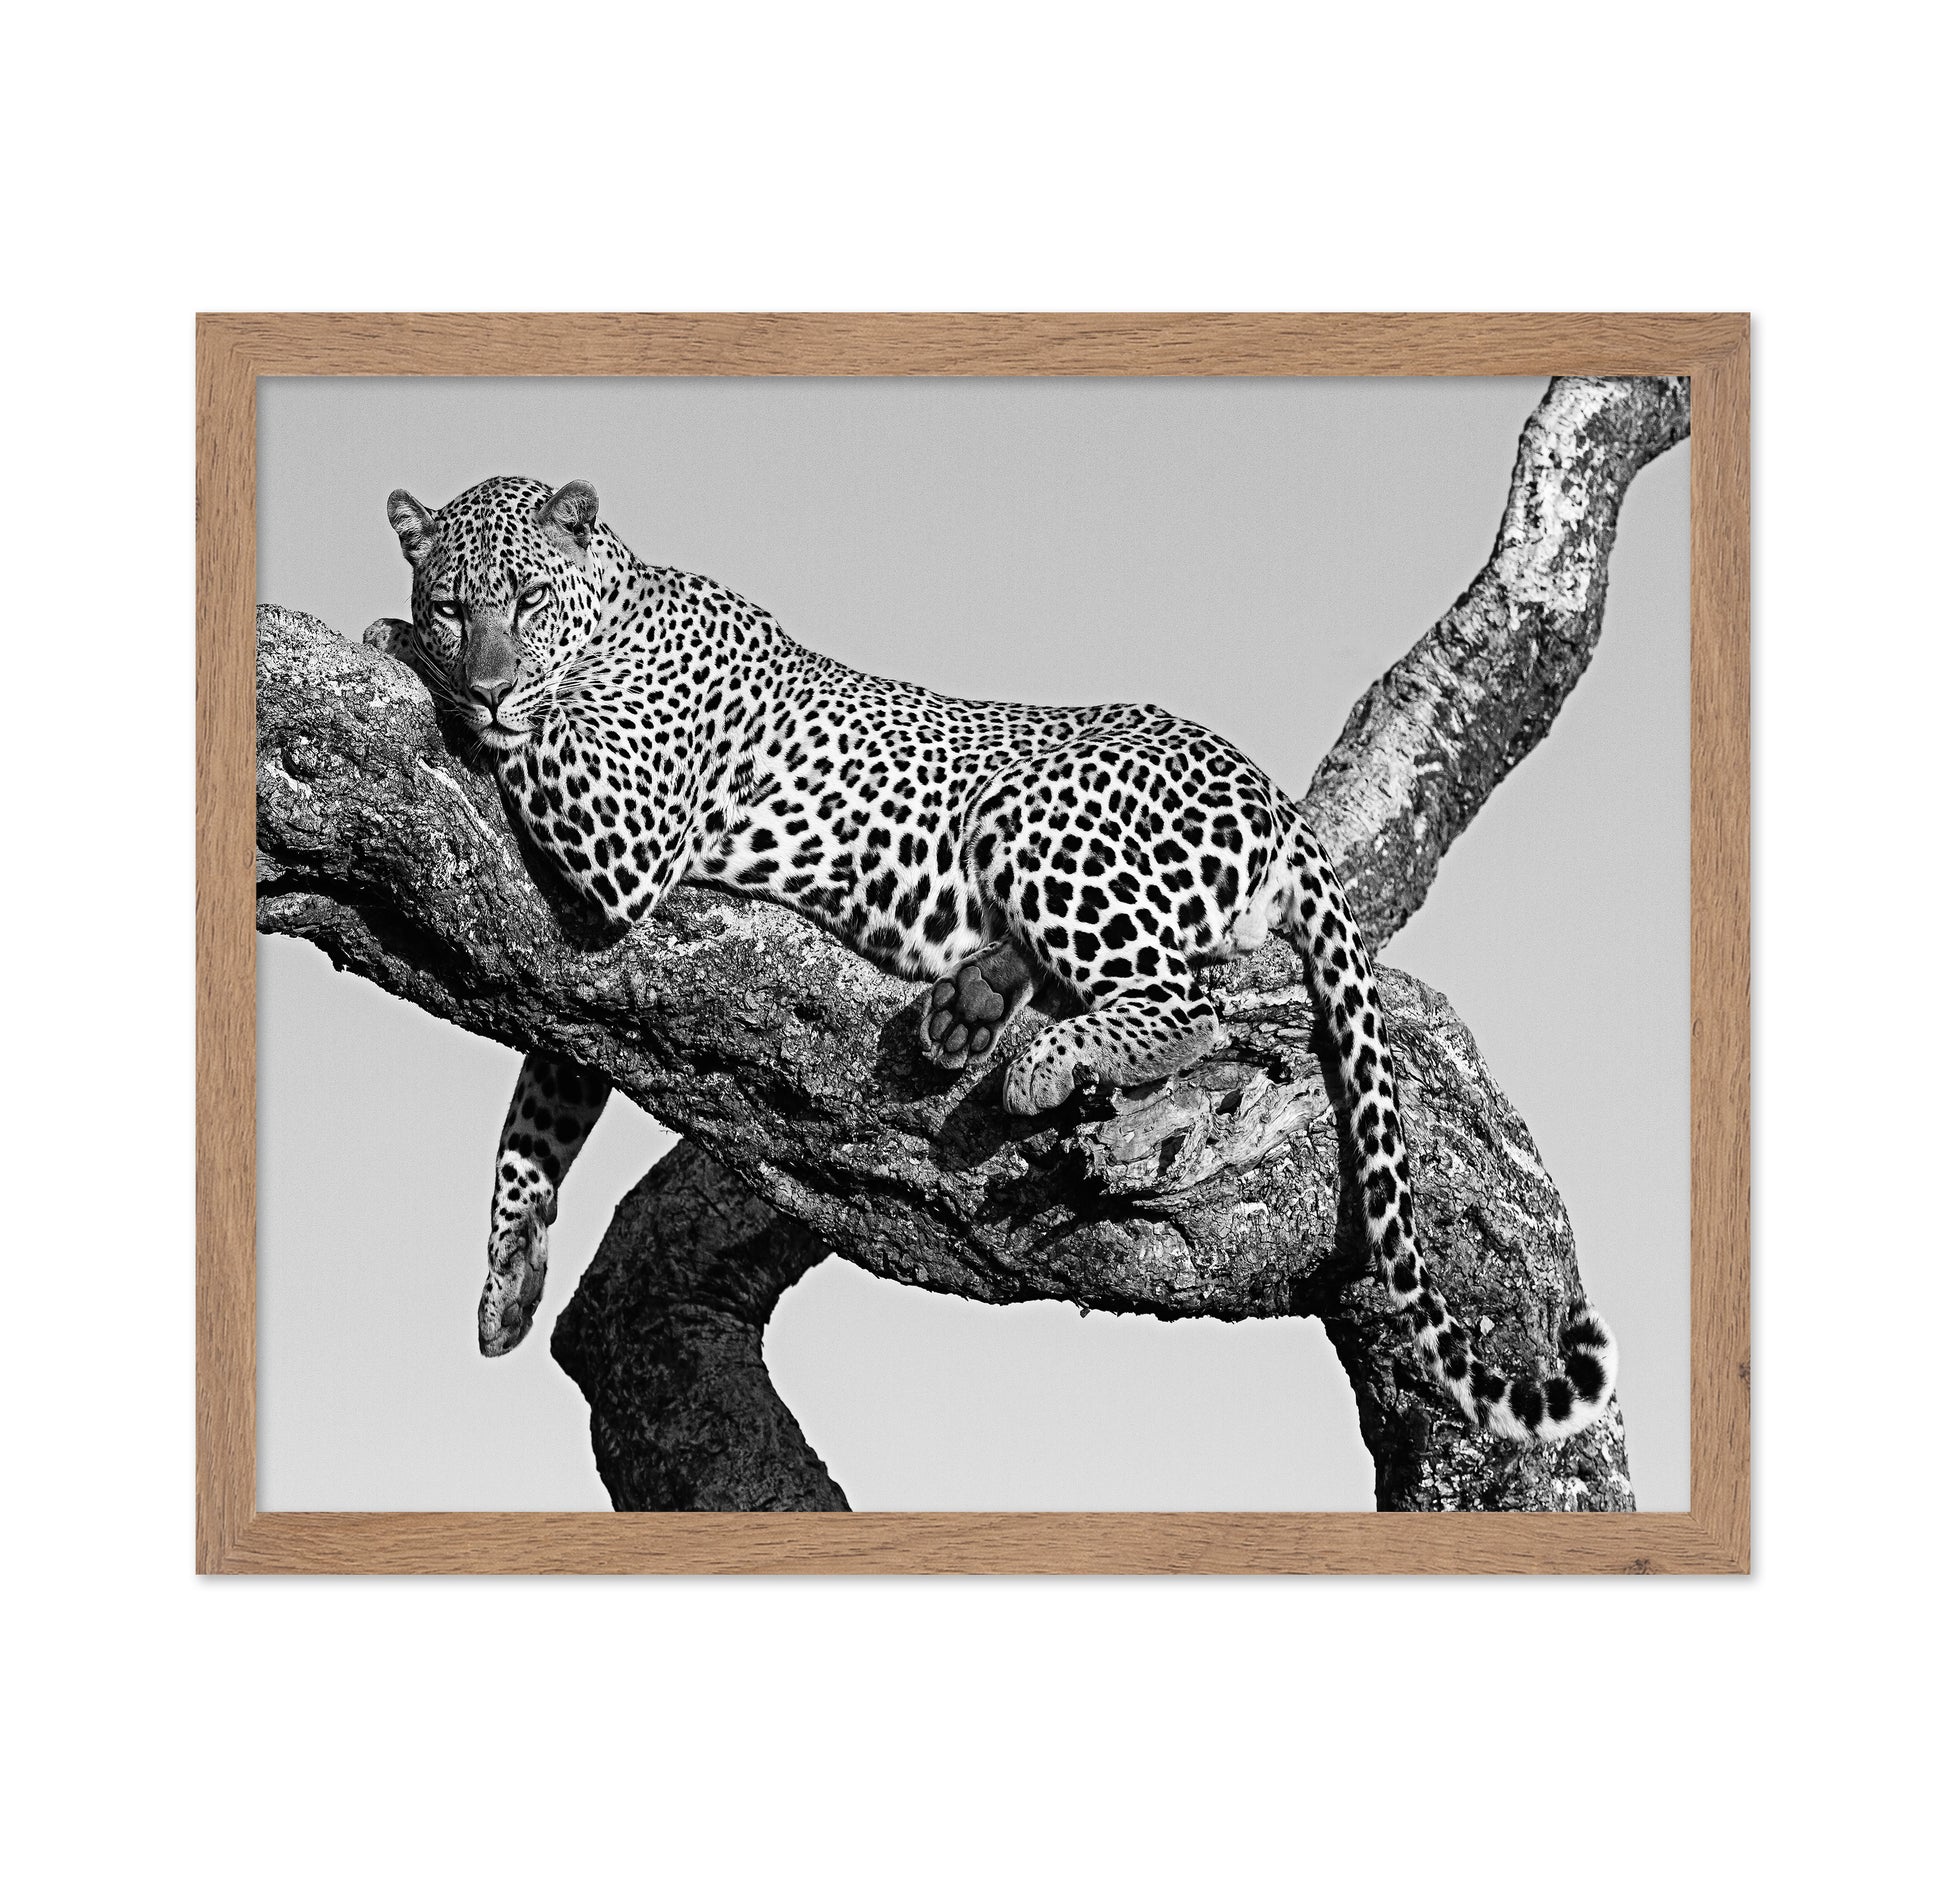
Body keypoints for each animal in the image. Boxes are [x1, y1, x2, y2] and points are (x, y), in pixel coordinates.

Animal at [368, 473, 1617, 1445]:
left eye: (525, 602)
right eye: (453, 605)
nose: (483, 680)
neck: (620, 605)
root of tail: (1270, 793)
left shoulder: (623, 832)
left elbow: (540, 745)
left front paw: (401, 652)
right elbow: (541, 1106)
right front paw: (507, 1278)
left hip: (1035, 809)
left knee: (1191, 1001)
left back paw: (1039, 1058)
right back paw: (969, 1003)